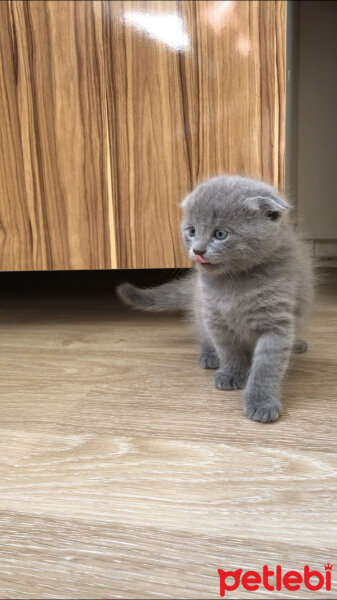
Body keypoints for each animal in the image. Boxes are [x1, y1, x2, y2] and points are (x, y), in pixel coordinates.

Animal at [117, 176, 312, 424]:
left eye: (220, 234)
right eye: (191, 231)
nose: (197, 250)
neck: (235, 284)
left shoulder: (276, 320)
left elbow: (267, 366)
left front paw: (261, 402)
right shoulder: (214, 316)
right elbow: (227, 348)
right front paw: (231, 373)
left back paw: (297, 343)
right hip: (200, 309)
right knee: (203, 332)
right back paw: (209, 355)